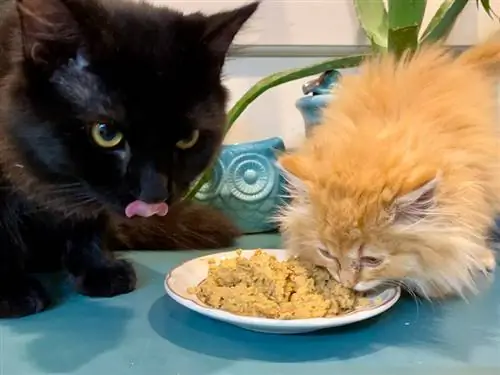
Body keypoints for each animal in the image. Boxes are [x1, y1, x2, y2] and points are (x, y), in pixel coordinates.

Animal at [0, 0, 258, 318]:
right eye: (106, 133)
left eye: (188, 138)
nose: (156, 192)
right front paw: (10, 292)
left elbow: (90, 221)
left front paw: (99, 270)